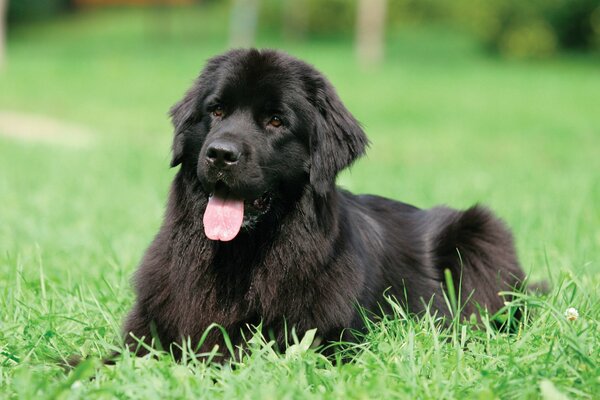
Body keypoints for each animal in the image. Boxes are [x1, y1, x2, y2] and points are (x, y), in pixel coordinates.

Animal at [123, 48, 524, 358]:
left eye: (275, 121)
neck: (239, 257)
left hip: (480, 231)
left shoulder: (324, 337)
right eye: (217, 111)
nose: (221, 154)